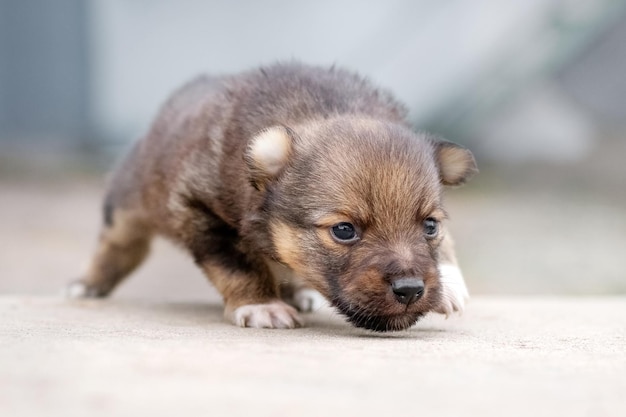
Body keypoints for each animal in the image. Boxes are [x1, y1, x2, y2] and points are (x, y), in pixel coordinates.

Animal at [68, 61, 476, 330]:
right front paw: (262, 305)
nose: (410, 290)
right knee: (121, 245)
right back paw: (87, 284)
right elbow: (239, 265)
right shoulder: (200, 211)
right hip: (128, 203)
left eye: (429, 226)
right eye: (344, 230)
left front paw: (451, 283)